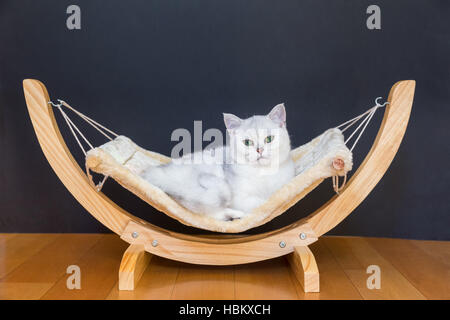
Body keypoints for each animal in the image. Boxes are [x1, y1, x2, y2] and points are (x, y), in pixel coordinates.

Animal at [141, 104, 296, 221]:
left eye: (269, 139)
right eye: (247, 142)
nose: (259, 150)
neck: (263, 173)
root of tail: (156, 172)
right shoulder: (240, 198)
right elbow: (262, 203)